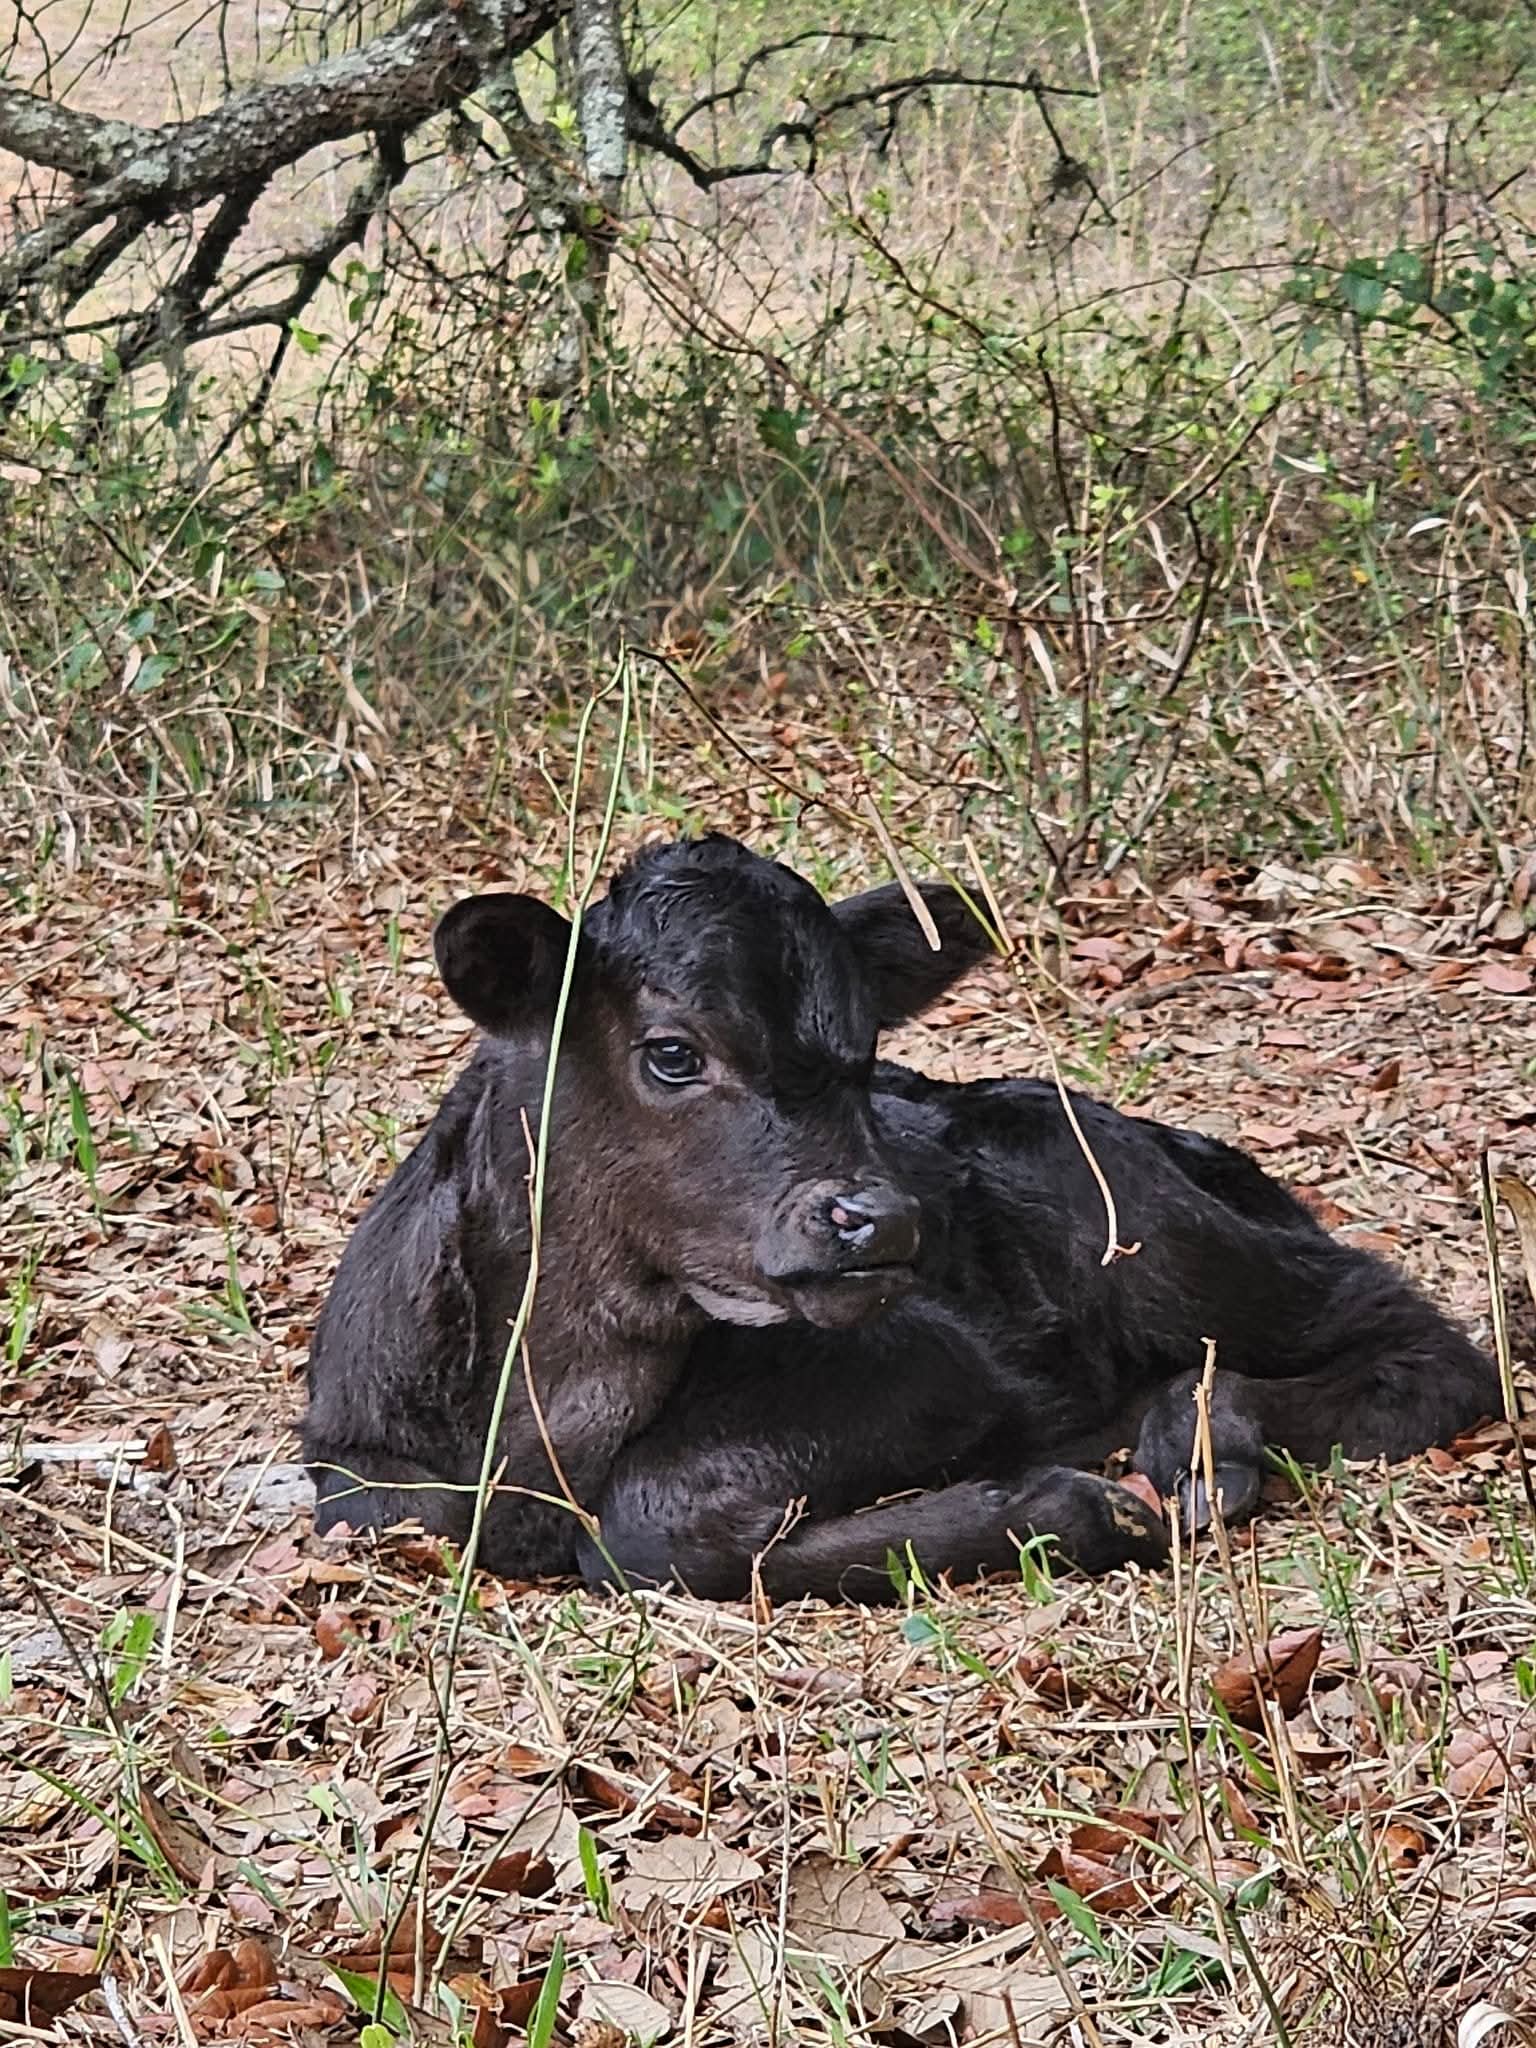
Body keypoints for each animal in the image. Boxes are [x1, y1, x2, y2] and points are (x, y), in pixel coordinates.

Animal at [303, 833, 1498, 1601]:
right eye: (673, 1052)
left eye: (866, 1051)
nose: (878, 1219)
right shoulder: (352, 1467)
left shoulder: (935, 1355)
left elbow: (647, 1524)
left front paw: (1070, 1506)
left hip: (1147, 1224)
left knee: (1423, 1339)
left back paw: (1203, 1434)